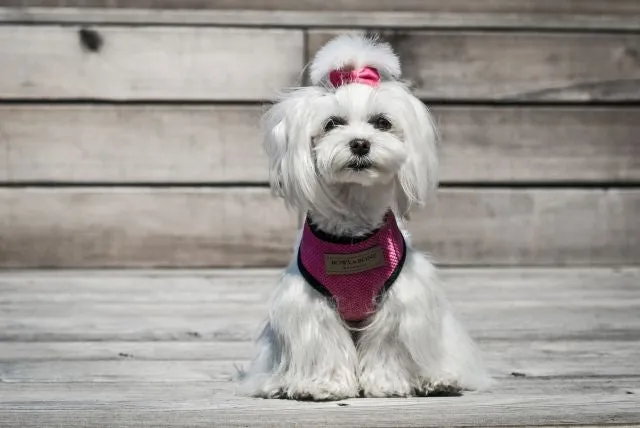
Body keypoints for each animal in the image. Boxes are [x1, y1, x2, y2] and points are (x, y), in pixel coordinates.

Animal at [240, 35, 490, 400]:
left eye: (382, 122)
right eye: (332, 124)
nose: (360, 144)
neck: (353, 231)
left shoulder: (399, 301)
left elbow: (387, 342)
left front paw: (386, 384)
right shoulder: (311, 305)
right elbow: (325, 344)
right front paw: (325, 385)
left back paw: (439, 380)